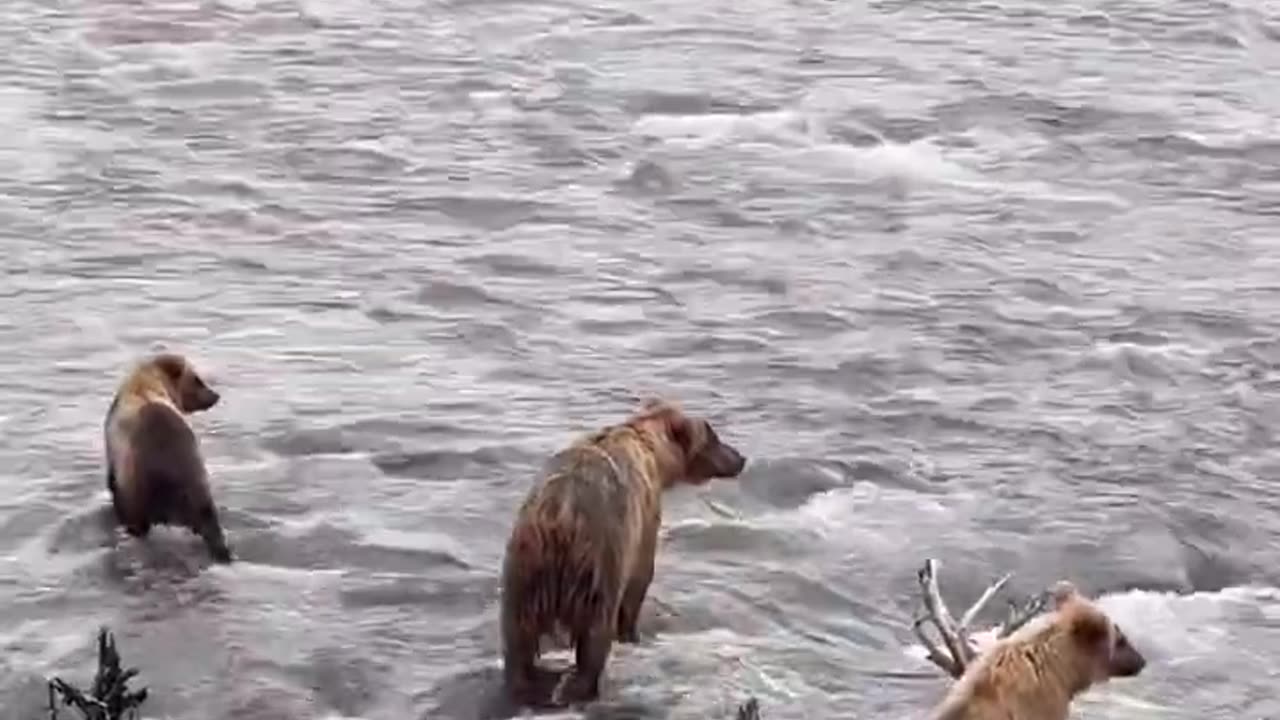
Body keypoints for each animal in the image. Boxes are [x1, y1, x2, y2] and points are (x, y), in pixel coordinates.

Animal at [494, 397, 747, 707]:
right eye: (713, 435)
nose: (740, 458)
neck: (653, 451)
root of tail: (558, 518)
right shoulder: (642, 522)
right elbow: (639, 581)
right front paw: (632, 633)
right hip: (597, 566)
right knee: (595, 633)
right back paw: (585, 686)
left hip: (523, 572)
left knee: (517, 639)